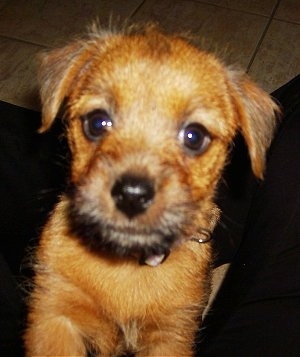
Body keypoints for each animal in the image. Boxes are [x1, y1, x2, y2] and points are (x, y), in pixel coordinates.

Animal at [24, 23, 278, 354]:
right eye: (97, 122)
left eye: (194, 136)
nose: (132, 195)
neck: (125, 265)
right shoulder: (55, 316)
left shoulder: (172, 334)